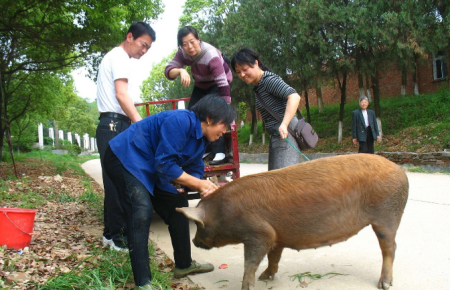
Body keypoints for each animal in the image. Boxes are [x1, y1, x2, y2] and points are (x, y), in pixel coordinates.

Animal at [176, 153, 408, 288]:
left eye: (199, 225)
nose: (194, 241)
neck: (224, 213)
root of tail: (400, 170)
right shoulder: (276, 235)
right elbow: (274, 257)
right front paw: (265, 277)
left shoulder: (258, 234)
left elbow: (250, 263)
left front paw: (248, 285)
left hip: (387, 215)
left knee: (390, 247)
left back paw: (384, 284)